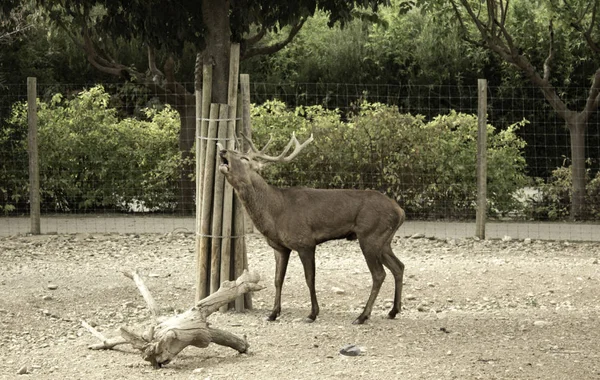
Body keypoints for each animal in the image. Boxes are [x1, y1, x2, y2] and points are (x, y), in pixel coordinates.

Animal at [218, 133, 406, 324]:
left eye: (244, 158)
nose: (223, 151)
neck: (275, 213)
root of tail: (400, 211)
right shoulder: (280, 247)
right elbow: (278, 280)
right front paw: (273, 313)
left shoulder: (305, 242)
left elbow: (310, 278)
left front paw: (312, 314)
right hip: (383, 240)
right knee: (399, 266)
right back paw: (392, 311)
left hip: (370, 235)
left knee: (379, 274)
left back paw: (362, 316)